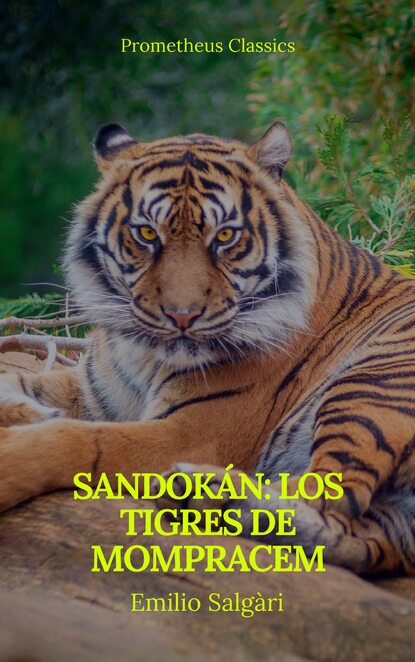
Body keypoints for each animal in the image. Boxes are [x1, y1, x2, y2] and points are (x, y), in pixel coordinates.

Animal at [0, 120, 414, 576]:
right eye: (147, 233)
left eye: (226, 236)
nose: (182, 316)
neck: (143, 353)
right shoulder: (93, 392)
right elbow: (16, 379)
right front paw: (29, 411)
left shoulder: (189, 434)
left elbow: (80, 440)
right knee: (369, 538)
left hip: (371, 382)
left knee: (334, 494)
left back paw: (204, 490)